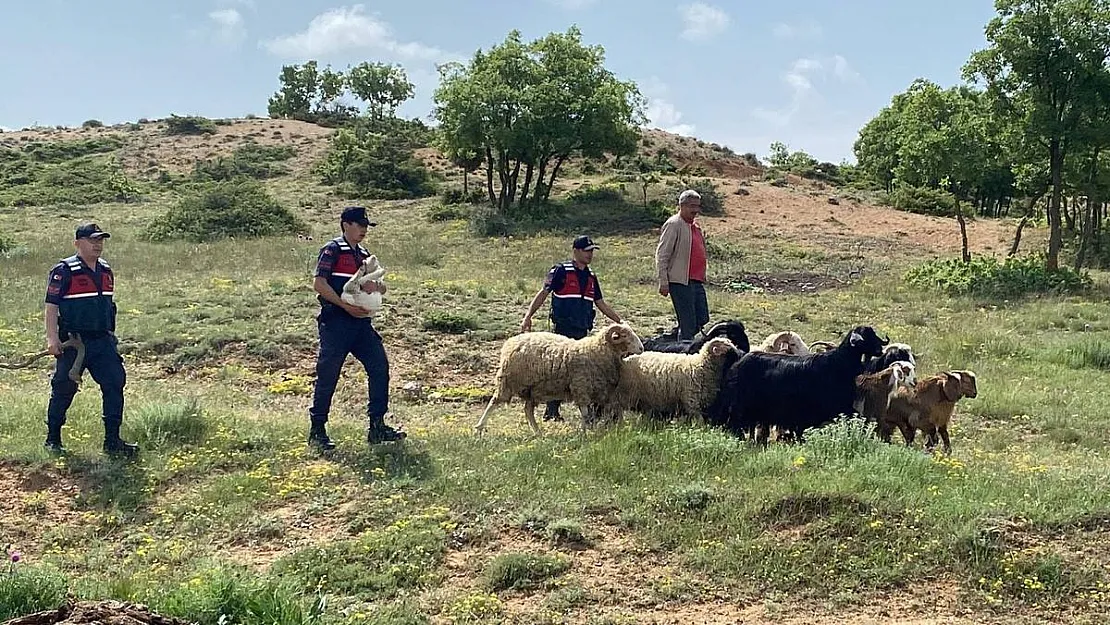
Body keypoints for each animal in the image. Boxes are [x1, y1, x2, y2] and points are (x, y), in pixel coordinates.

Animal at [472, 321, 648, 435]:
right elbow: (585, 413)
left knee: (528, 410)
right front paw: (586, 432)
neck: (597, 351)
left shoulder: (600, 391)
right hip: (509, 381)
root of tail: (510, 342)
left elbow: (609, 409)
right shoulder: (581, 387)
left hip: (532, 390)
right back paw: (479, 427)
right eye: (624, 335)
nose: (641, 348)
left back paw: (538, 433)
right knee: (494, 402)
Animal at [612, 337, 741, 426]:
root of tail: (624, 361)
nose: (741, 355)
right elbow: (699, 422)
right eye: (729, 350)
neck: (701, 365)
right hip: (623, 396)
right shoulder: (692, 403)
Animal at [710, 321, 892, 444]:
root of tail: (738, 360)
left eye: (872, 334)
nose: (880, 350)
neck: (839, 363)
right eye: (864, 338)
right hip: (740, 406)